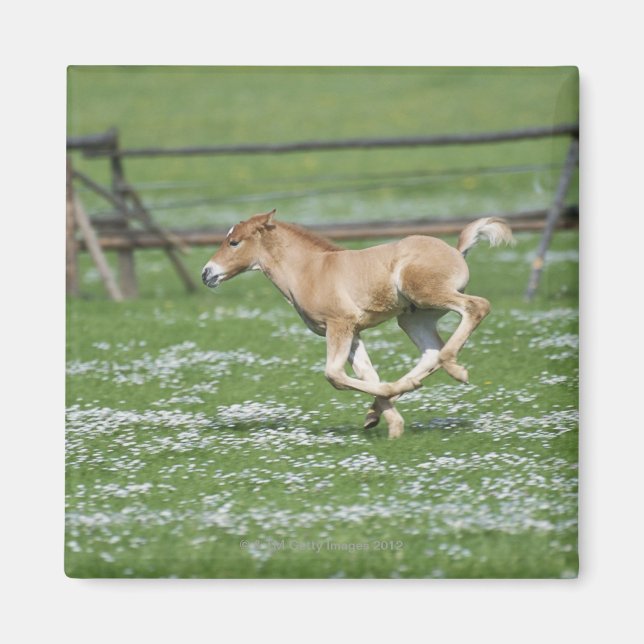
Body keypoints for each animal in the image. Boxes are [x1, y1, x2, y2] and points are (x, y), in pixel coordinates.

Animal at [202, 210, 514, 438]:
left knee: (475, 308)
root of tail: (456, 251)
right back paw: (401, 390)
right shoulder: (352, 332)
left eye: (234, 242)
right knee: (431, 352)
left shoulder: (339, 325)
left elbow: (334, 375)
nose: (207, 273)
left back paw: (456, 369)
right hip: (413, 317)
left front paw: (388, 406)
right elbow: (367, 374)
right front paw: (391, 425)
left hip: (427, 294)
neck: (310, 270)